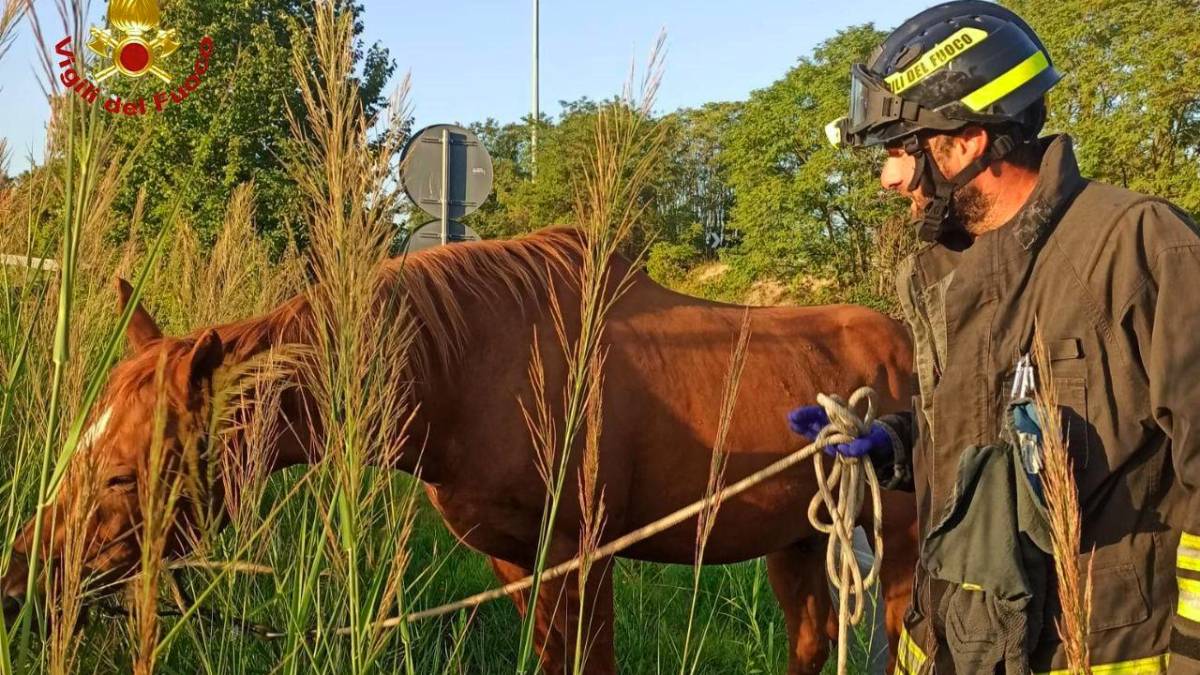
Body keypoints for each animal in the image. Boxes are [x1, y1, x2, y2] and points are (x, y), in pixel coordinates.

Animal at [0, 226, 917, 674]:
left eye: (120, 472)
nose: (19, 583)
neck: (467, 369)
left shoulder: (584, 555)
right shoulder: (517, 562)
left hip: (898, 542)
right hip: (798, 541)